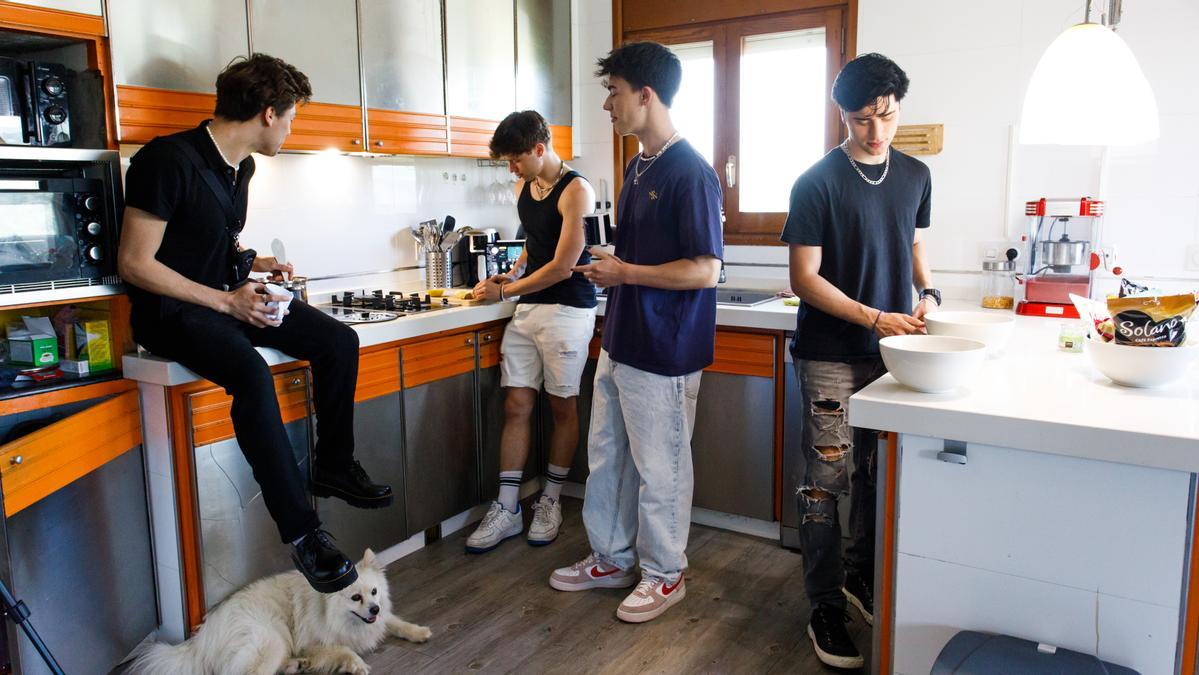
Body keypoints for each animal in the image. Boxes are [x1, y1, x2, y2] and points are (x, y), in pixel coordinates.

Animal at [132, 551, 431, 671]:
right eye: (355, 597)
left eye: (375, 592)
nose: (374, 608)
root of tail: (200, 639)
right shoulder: (312, 642)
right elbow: (344, 649)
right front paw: (357, 664)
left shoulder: (380, 619)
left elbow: (395, 622)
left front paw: (418, 632)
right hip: (272, 638)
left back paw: (296, 665)